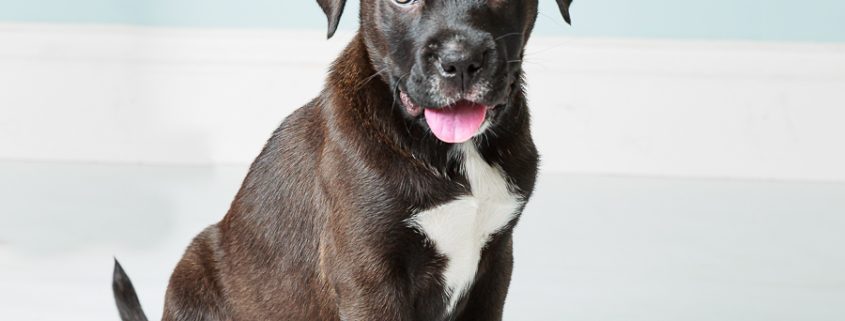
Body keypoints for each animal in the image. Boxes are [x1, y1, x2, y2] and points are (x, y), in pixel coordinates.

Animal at [112, 1, 572, 318]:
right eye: (402, 0)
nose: (459, 63)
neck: (453, 153)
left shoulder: (494, 264)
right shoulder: (369, 277)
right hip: (194, 266)